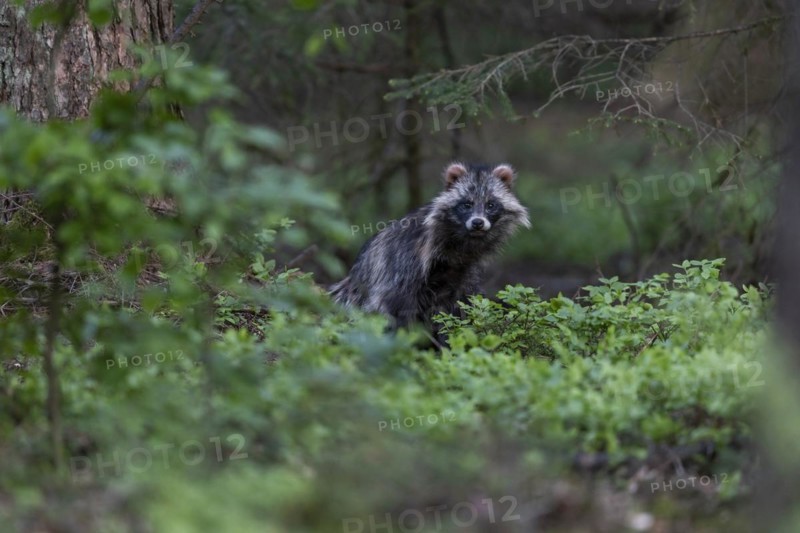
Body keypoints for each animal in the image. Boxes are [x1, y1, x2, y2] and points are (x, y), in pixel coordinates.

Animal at [330, 162, 530, 333]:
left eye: (491, 205)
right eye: (467, 204)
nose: (478, 223)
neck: (462, 242)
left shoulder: (464, 271)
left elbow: (460, 303)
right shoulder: (409, 261)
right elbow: (398, 306)